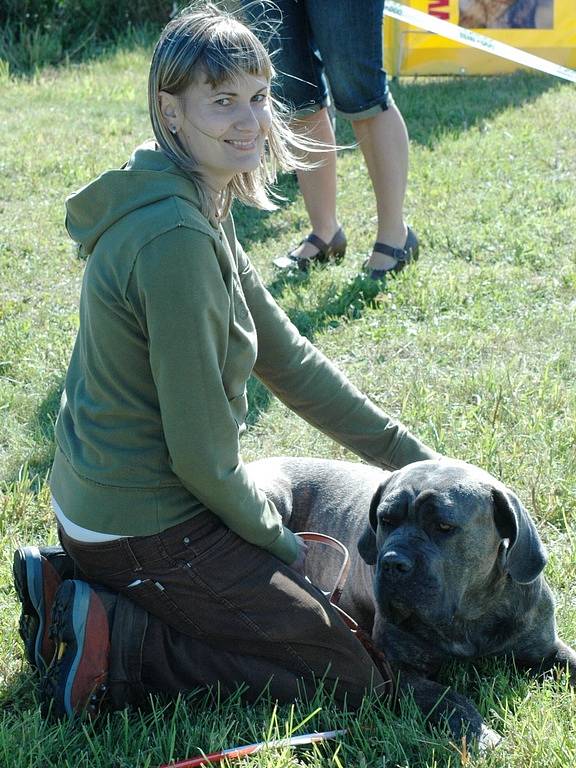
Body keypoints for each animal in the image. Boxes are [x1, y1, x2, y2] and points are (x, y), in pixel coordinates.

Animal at [250, 456, 576, 744]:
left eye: (444, 526)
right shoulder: (398, 671)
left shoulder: (546, 648)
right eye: (386, 520)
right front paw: (482, 738)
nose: (393, 563)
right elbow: (450, 699)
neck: (470, 616)